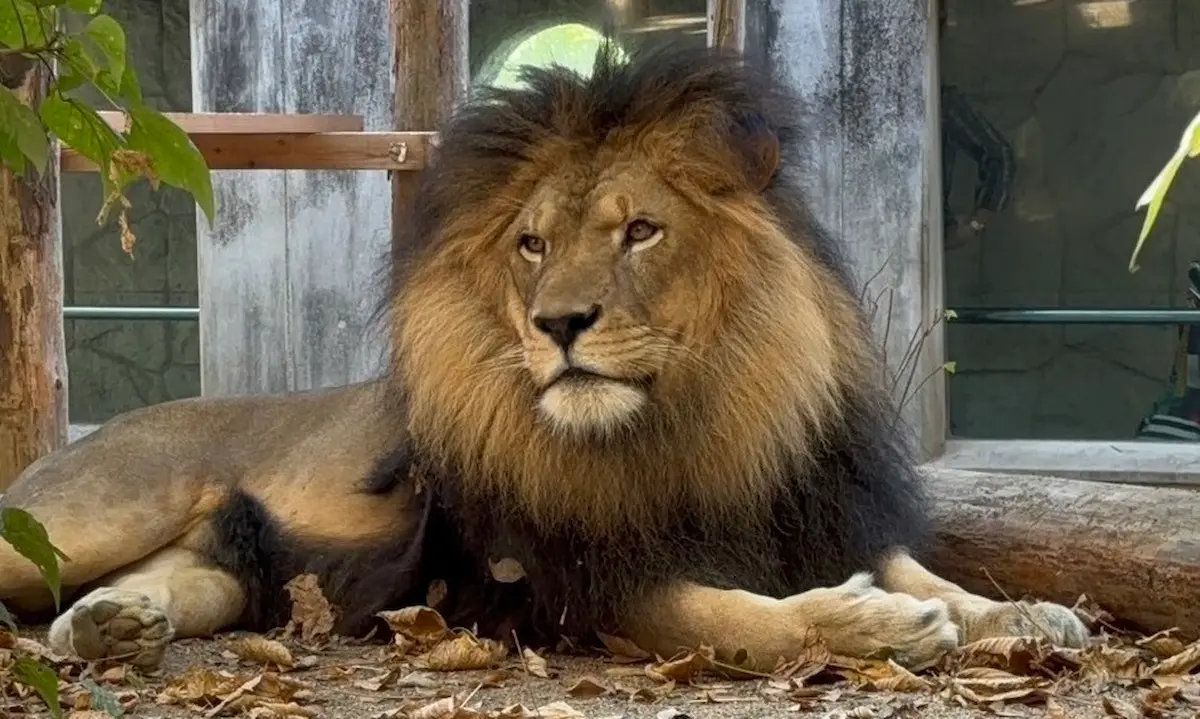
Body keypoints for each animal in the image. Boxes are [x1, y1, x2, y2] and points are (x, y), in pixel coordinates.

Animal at [0, 43, 1089, 676]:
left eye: (640, 230)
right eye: (531, 243)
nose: (559, 321)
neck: (716, 411)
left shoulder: (822, 505)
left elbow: (928, 570)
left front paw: (1028, 612)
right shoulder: (589, 585)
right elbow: (743, 620)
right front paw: (879, 626)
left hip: (226, 568)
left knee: (154, 588)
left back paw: (106, 628)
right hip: (89, 512)